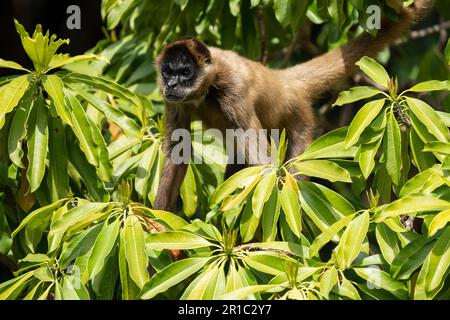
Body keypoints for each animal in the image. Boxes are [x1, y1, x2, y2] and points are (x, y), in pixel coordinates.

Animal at [154, 0, 432, 212]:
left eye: (185, 72)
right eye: (168, 72)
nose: (172, 84)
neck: (206, 89)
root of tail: (284, 81)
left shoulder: (234, 89)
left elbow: (263, 163)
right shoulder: (174, 102)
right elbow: (177, 153)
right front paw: (158, 227)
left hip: (302, 124)